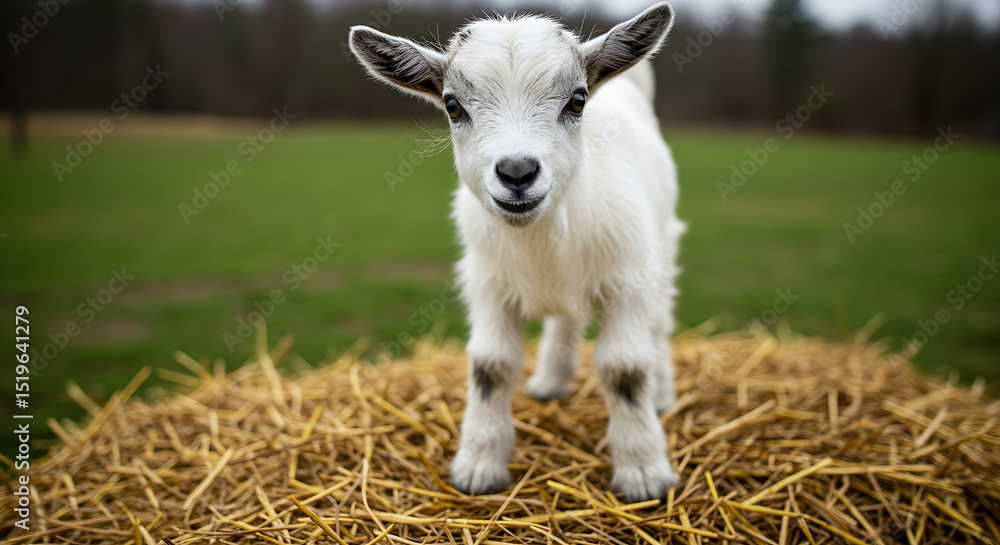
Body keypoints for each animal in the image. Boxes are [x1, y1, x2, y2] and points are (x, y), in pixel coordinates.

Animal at [349, 2, 683, 502]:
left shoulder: (626, 278)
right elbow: (491, 365)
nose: (518, 172)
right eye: (452, 105)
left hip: (660, 249)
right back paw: (550, 382)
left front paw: (643, 474)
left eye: (577, 100)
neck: (540, 238)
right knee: (565, 319)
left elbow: (624, 369)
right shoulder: (487, 283)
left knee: (658, 323)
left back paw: (661, 396)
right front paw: (478, 467)